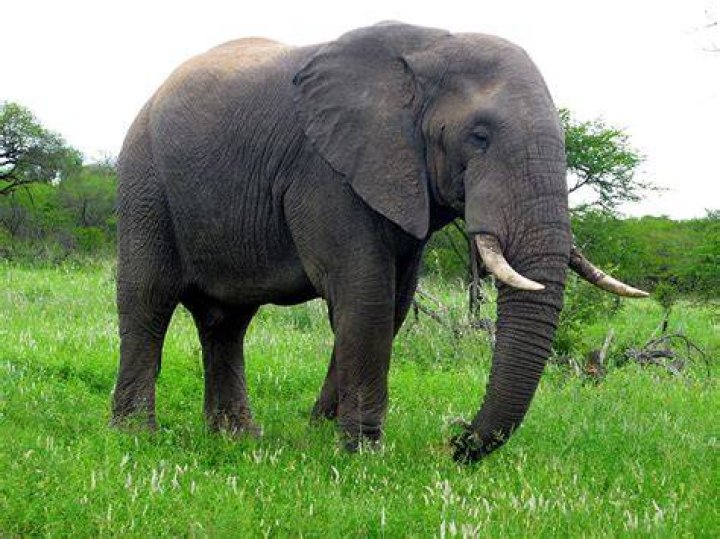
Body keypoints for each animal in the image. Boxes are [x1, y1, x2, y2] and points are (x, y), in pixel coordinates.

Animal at [111, 22, 647, 462]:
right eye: (479, 137)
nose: (456, 439)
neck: (427, 53)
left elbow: (392, 305)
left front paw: (322, 434)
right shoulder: (326, 171)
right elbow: (364, 293)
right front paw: (363, 455)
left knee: (226, 322)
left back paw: (238, 438)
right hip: (145, 180)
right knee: (148, 300)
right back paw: (136, 436)